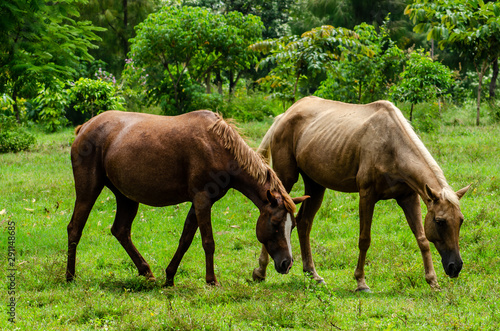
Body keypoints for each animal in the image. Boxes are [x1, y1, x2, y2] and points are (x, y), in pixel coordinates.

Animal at [66, 110, 308, 286]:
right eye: (275, 224)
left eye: (293, 226)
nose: (287, 263)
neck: (217, 145)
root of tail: (84, 127)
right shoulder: (202, 201)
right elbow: (208, 242)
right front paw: (211, 280)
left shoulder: (197, 203)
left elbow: (185, 240)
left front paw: (169, 277)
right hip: (88, 190)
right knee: (75, 228)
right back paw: (70, 276)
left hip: (126, 197)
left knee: (120, 231)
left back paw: (146, 271)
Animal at [254, 96, 468, 294]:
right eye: (440, 221)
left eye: (461, 220)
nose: (455, 267)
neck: (392, 145)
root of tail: (285, 115)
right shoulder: (367, 195)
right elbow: (364, 239)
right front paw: (361, 282)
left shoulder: (409, 197)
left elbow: (422, 239)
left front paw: (433, 281)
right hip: (286, 178)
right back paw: (260, 271)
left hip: (315, 185)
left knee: (304, 223)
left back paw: (312, 274)